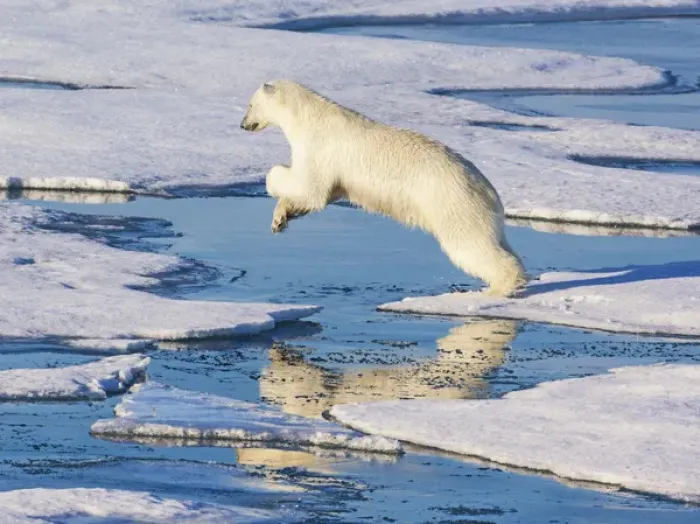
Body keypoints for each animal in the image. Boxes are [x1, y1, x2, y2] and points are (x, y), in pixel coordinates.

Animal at [240, 80, 527, 297]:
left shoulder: (319, 149)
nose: (243, 124)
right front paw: (280, 219)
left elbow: (310, 187)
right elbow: (315, 196)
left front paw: (272, 183)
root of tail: (489, 191)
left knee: (470, 245)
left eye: (250, 104)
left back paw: (500, 287)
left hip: (453, 203)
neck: (309, 116)